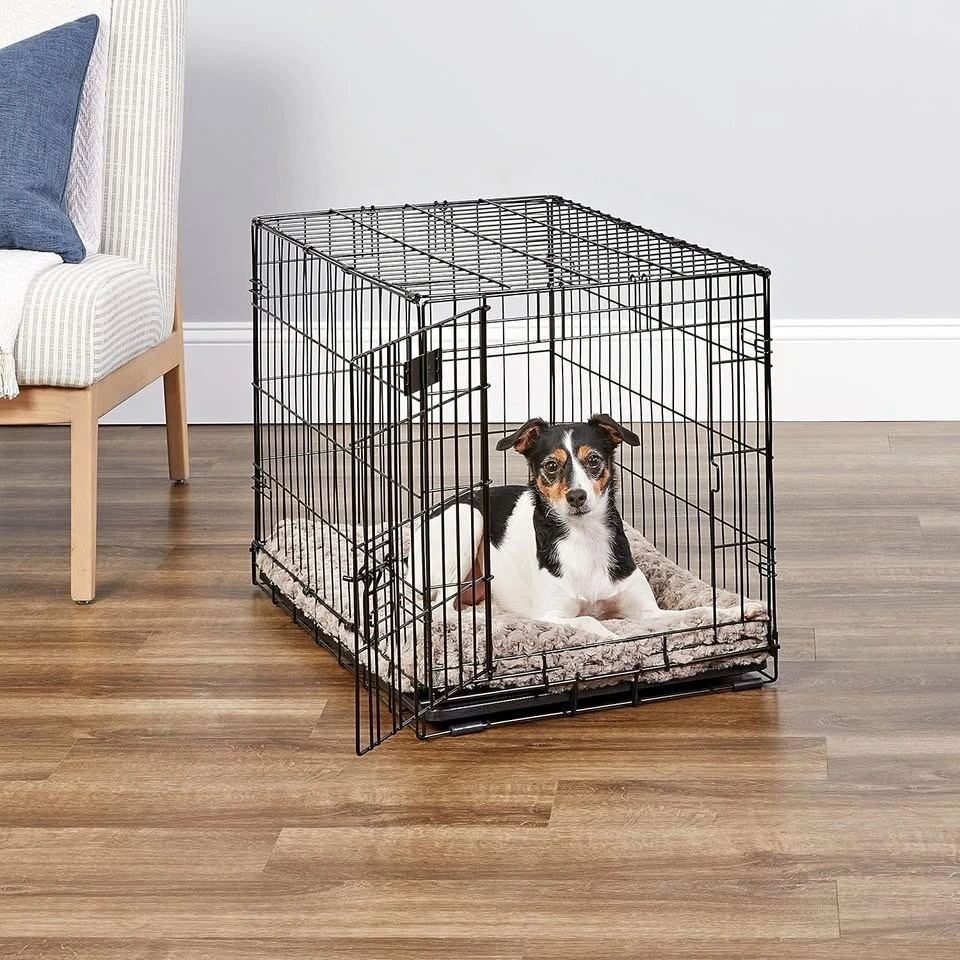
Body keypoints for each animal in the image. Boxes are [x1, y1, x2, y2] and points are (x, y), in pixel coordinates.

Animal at [405, 414, 674, 640]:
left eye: (594, 460)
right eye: (551, 465)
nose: (577, 496)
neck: (584, 536)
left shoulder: (648, 610)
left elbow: (681, 617)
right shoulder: (550, 615)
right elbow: (589, 620)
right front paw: (614, 637)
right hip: (467, 518)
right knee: (442, 611)